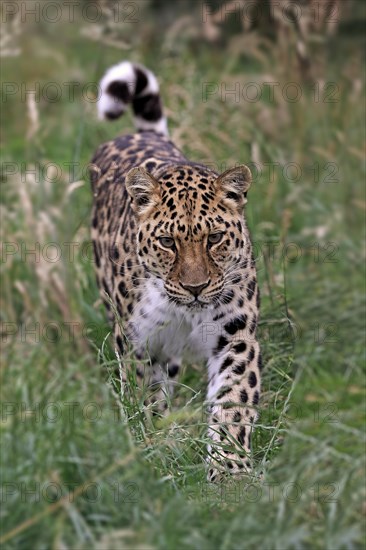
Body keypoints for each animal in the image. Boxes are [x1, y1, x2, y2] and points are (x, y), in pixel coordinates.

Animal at [89, 61, 262, 484]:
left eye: (215, 238)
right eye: (168, 242)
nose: (196, 287)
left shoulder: (235, 336)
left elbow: (234, 401)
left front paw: (230, 472)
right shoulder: (139, 341)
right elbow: (147, 396)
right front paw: (154, 445)